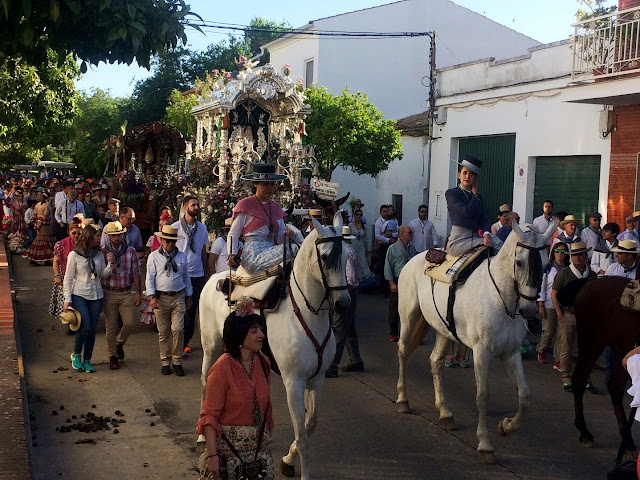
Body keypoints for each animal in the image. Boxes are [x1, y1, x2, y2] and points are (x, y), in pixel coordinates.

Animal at [199, 213, 350, 480]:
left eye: (346, 257)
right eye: (324, 257)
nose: (343, 303)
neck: (306, 313)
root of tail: (214, 279)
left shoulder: (317, 379)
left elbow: (310, 424)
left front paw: (288, 459)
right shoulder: (294, 382)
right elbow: (302, 437)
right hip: (211, 346)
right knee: (206, 381)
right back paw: (200, 435)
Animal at [396, 221, 556, 464]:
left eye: (546, 265)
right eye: (519, 262)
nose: (528, 310)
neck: (501, 297)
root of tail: (416, 256)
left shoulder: (511, 354)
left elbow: (525, 397)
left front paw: (506, 426)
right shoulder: (481, 352)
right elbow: (482, 396)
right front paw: (485, 445)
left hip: (443, 329)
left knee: (435, 361)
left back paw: (445, 412)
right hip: (409, 317)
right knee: (404, 352)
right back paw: (403, 400)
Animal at [568, 278, 640, 454]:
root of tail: (590, 282)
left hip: (620, 352)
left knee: (615, 387)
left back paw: (627, 440)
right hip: (591, 343)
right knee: (579, 380)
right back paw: (585, 433)